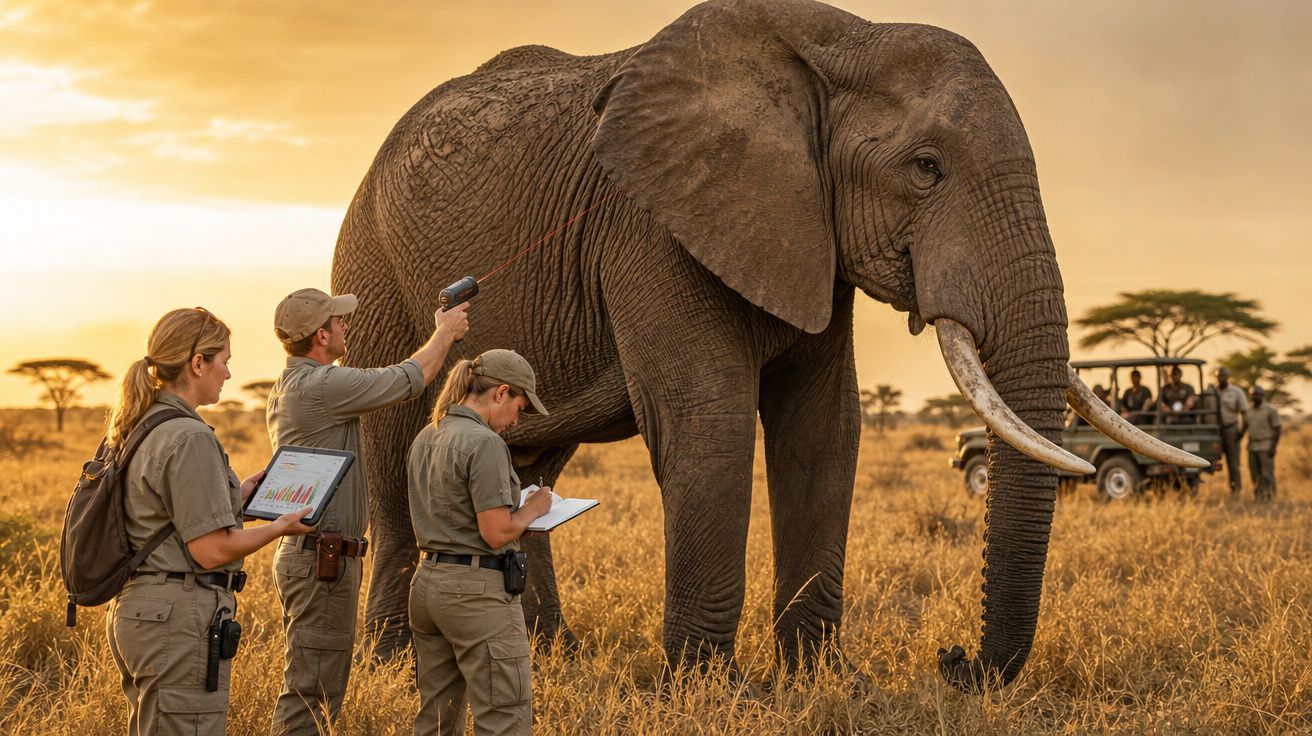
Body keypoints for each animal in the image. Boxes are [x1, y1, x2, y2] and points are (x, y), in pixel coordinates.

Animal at [331, 0, 1203, 690]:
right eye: (926, 168)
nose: (953, 660)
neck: (843, 40)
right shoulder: (652, 228)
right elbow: (708, 423)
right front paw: (714, 693)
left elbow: (825, 428)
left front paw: (825, 683)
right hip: (371, 257)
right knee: (396, 440)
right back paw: (391, 660)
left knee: (530, 460)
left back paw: (555, 653)